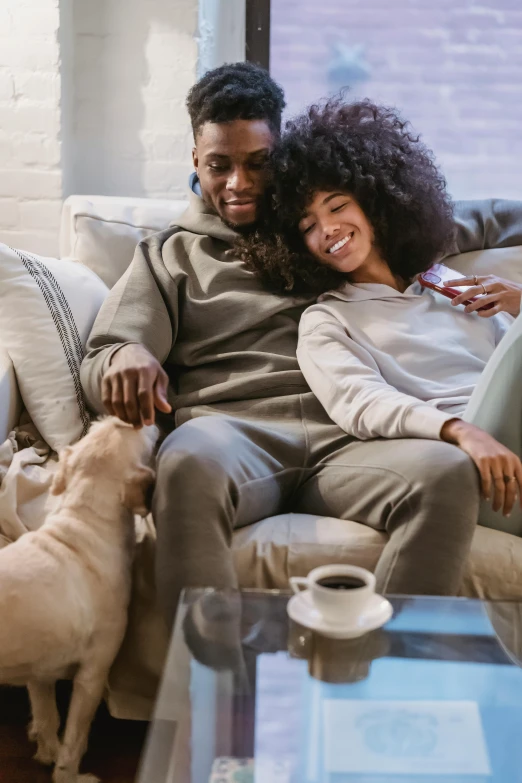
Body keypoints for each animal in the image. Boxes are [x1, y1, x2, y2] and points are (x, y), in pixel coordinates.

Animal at [0, 416, 156, 783]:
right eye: (142, 433)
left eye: (97, 427)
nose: (123, 415)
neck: (86, 523)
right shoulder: (94, 673)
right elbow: (76, 739)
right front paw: (68, 774)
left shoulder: (39, 671)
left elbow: (48, 718)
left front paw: (46, 750)